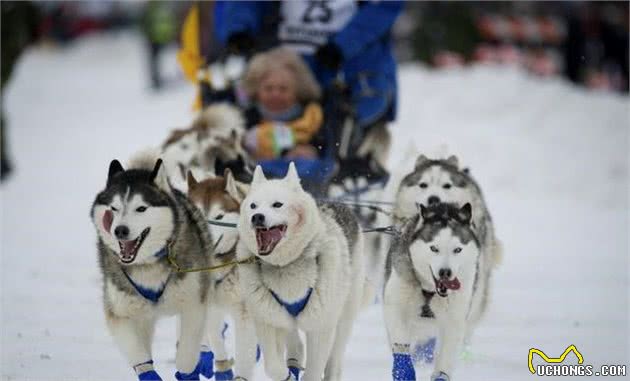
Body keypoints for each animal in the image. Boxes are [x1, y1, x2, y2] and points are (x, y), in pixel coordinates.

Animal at [90, 151, 215, 380]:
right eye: (114, 208)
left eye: (141, 208)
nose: (120, 230)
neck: (147, 264)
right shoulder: (120, 313)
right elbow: (137, 352)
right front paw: (147, 372)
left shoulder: (193, 304)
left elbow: (187, 350)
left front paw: (188, 370)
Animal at [237, 163, 370, 380]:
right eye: (253, 206)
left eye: (277, 204)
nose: (256, 217)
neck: (286, 265)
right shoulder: (267, 321)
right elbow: (272, 365)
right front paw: (287, 375)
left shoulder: (320, 327)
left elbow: (315, 370)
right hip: (283, 316)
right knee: (294, 341)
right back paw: (293, 360)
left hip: (343, 314)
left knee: (335, 355)